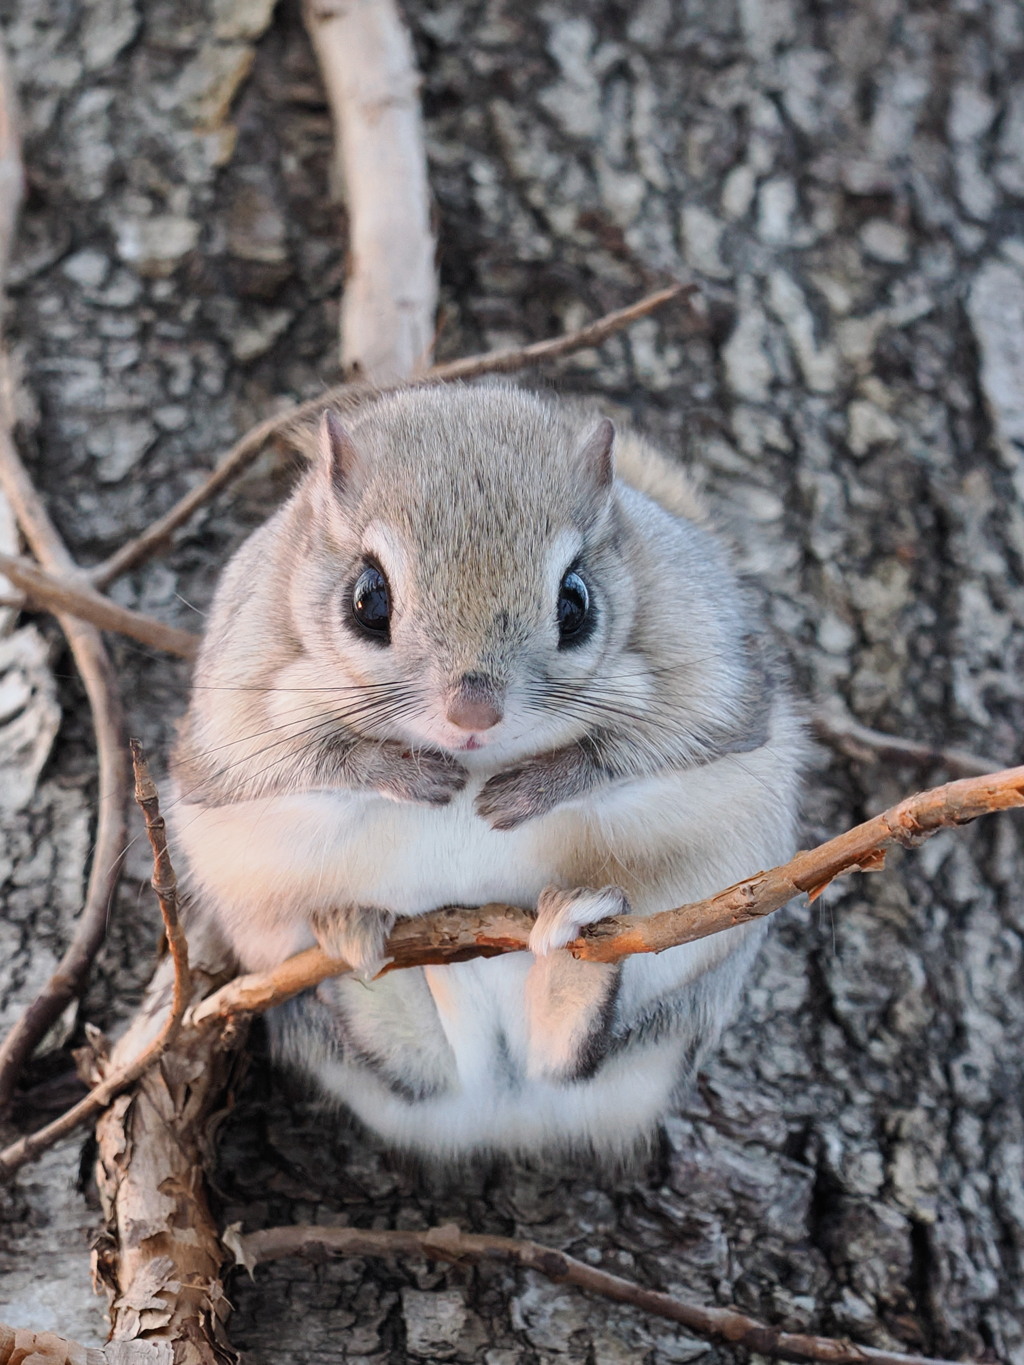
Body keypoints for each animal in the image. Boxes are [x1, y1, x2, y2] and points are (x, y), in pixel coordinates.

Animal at [172, 387, 808, 1162]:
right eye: (367, 599)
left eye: (575, 601)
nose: (473, 711)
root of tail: (505, 1115)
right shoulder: (235, 722)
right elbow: (308, 762)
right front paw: (406, 773)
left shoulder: (712, 683)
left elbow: (634, 750)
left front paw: (534, 786)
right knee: (419, 1070)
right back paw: (354, 946)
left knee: (569, 1058)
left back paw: (574, 959)